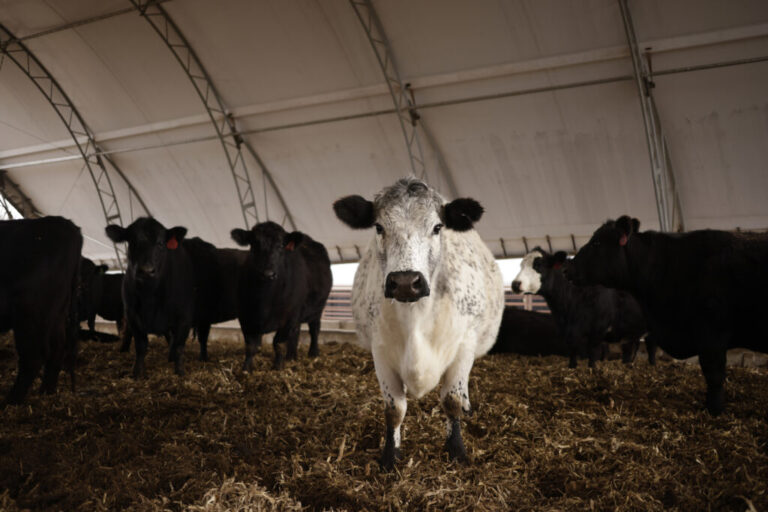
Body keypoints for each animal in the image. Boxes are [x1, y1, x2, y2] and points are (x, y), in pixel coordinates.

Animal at [0, 216, 82, 405]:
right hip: (56, 314)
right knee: (57, 348)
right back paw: (47, 392)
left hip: (30, 311)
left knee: (33, 356)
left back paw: (11, 401)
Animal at [105, 217, 196, 378]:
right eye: (132, 241)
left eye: (160, 243)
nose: (146, 270)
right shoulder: (132, 313)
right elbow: (141, 345)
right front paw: (137, 372)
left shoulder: (185, 315)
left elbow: (179, 345)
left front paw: (180, 372)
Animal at [231, 222, 332, 371]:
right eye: (254, 244)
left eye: (280, 246)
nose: (268, 273)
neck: (264, 300)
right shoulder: (246, 316)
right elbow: (251, 346)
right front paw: (246, 369)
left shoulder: (288, 317)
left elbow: (278, 343)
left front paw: (278, 367)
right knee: (296, 332)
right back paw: (291, 356)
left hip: (317, 308)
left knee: (314, 329)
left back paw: (313, 353)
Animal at [333, 177, 504, 470]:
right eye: (379, 227)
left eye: (437, 227)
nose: (405, 282)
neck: (415, 319)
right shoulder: (380, 351)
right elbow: (394, 410)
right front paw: (390, 457)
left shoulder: (464, 345)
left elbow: (452, 400)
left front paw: (457, 451)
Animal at [512, 248, 650, 368]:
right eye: (521, 265)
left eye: (538, 265)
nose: (515, 284)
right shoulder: (569, 336)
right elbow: (572, 359)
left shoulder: (597, 333)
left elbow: (592, 358)